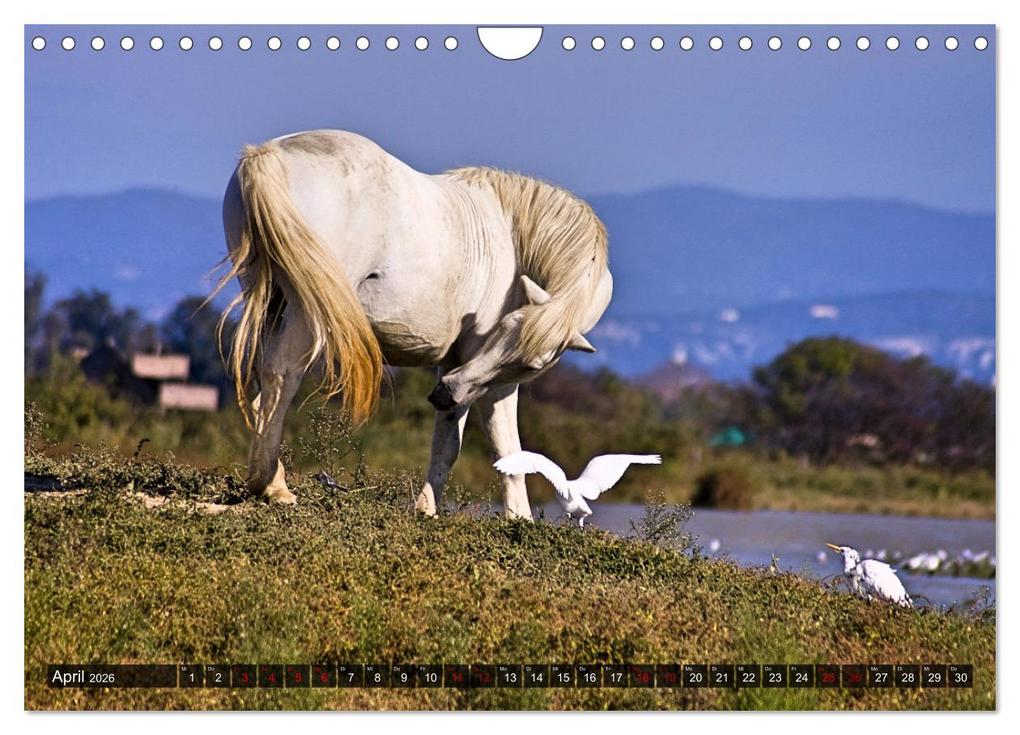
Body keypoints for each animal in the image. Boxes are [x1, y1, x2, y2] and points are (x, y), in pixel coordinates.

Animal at [215, 130, 612, 519]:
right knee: (281, 375)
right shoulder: (486, 376)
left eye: (529, 362)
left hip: (269, 301)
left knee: (261, 389)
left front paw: (426, 509)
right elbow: (505, 449)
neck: (513, 237)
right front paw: (520, 518)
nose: (443, 393)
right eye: (504, 330)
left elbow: (447, 445)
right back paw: (272, 487)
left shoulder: (457, 367)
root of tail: (269, 154)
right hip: (307, 310)